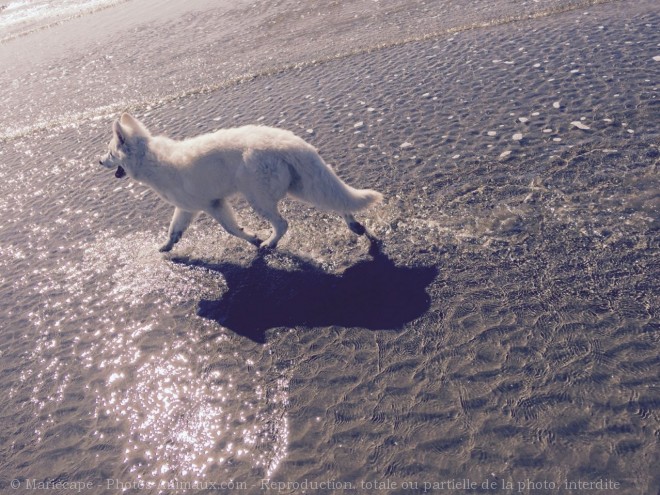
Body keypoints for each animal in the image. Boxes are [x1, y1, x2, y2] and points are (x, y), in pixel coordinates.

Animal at [100, 113, 384, 252]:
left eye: (110, 153)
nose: (98, 161)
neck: (151, 159)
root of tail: (290, 142)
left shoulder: (212, 205)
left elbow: (231, 229)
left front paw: (253, 239)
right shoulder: (187, 208)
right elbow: (173, 230)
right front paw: (167, 247)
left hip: (258, 197)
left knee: (283, 223)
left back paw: (270, 243)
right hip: (303, 186)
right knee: (336, 200)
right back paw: (354, 225)